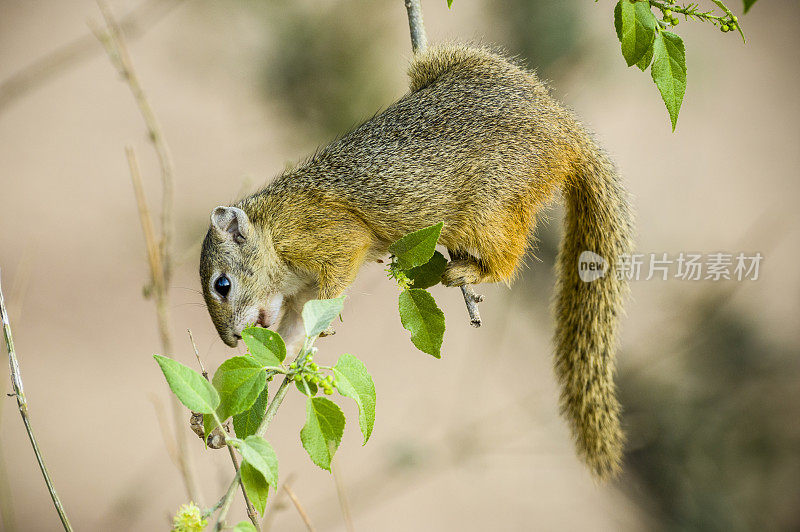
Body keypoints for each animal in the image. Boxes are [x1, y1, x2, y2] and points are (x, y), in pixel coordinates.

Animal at [198, 44, 632, 478]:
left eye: (222, 284)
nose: (233, 340)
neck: (271, 228)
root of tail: (563, 129)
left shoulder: (328, 236)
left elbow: (334, 280)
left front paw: (324, 327)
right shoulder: (297, 294)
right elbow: (288, 335)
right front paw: (216, 424)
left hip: (486, 208)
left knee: (508, 259)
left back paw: (471, 270)